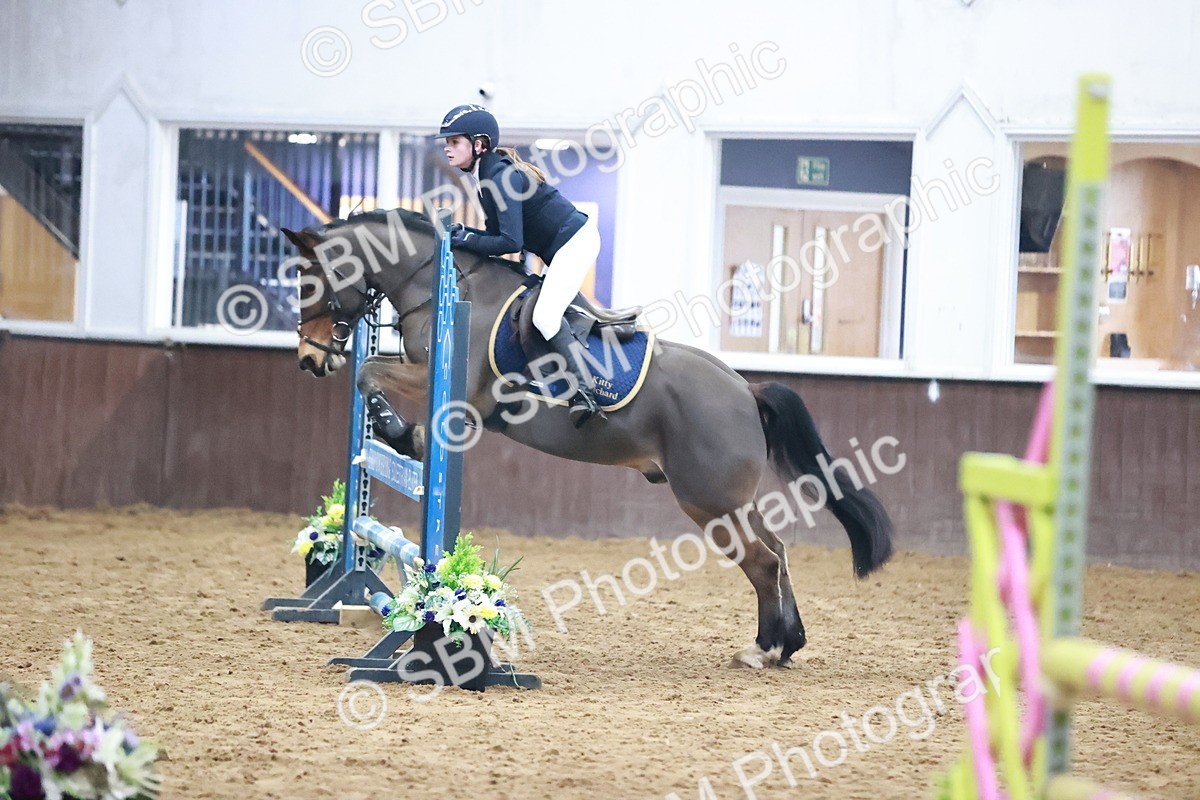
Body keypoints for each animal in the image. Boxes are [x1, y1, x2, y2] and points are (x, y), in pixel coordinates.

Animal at [282, 208, 893, 668]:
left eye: (311, 281)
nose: (311, 360)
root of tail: (747, 388)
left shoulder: (452, 388)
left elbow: (370, 374)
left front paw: (397, 429)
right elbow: (372, 374)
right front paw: (397, 432)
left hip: (708, 500)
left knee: (764, 562)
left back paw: (764, 651)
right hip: (729, 499)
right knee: (778, 551)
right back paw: (786, 644)